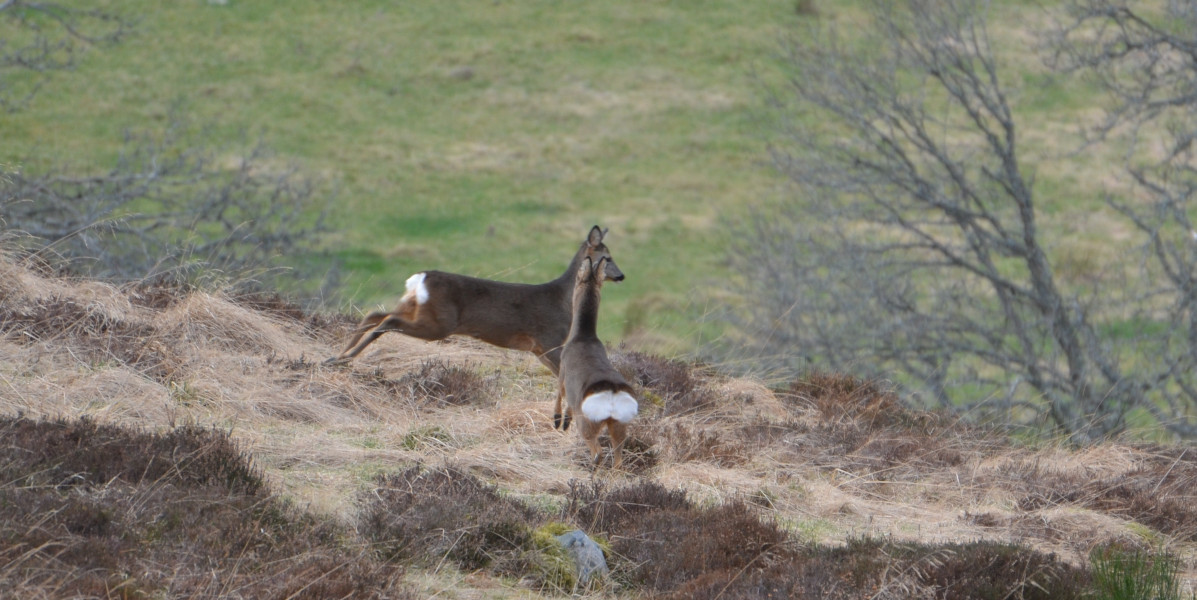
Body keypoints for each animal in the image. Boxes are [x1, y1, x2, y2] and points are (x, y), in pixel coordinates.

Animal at [325, 226, 624, 381]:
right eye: (607, 257)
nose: (621, 275)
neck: (563, 300)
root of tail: (420, 278)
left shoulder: (538, 348)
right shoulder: (549, 339)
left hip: (415, 308)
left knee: (374, 314)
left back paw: (336, 356)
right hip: (438, 323)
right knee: (387, 320)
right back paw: (343, 358)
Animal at [556, 256, 639, 470]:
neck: (584, 336)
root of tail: (612, 393)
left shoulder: (562, 369)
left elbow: (559, 395)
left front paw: (558, 421)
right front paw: (564, 421)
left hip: (588, 422)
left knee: (597, 452)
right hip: (619, 425)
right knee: (618, 460)